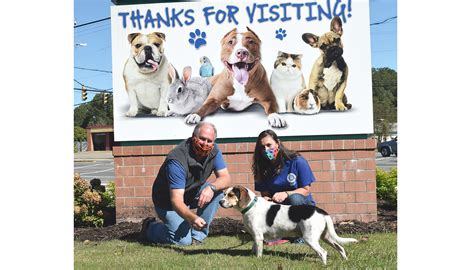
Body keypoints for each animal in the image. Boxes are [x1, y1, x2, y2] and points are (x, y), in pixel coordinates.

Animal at [220, 187, 358, 264]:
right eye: (224, 194)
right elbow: (254, 248)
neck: (250, 206)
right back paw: (345, 261)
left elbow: (259, 251)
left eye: (231, 195)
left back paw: (323, 265)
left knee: (323, 252)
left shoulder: (258, 236)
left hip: (310, 238)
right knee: (340, 248)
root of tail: (322, 212)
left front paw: (258, 260)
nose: (220, 202)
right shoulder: (255, 236)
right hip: (326, 236)